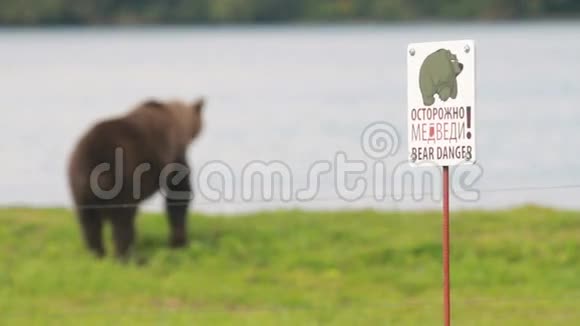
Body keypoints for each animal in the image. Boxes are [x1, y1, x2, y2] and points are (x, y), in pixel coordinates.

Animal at [68, 98, 205, 258]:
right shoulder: (174, 154)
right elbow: (179, 193)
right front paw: (179, 244)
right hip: (121, 178)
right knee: (123, 220)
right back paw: (130, 256)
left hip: (79, 185)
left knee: (89, 222)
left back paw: (97, 255)